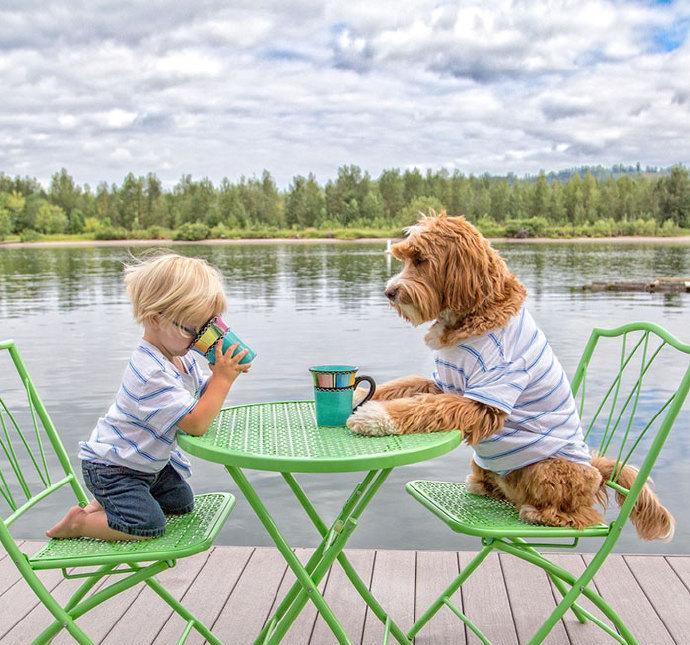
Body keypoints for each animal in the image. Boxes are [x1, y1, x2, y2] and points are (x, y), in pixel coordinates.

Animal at [346, 210, 668, 540]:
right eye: (404, 259)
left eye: (421, 260)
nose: (389, 292)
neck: (473, 314)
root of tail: (596, 471)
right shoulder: (441, 383)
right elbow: (404, 386)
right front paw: (360, 395)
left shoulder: (484, 398)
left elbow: (425, 407)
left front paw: (374, 416)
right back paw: (485, 487)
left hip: (548, 469)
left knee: (582, 515)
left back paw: (539, 513)